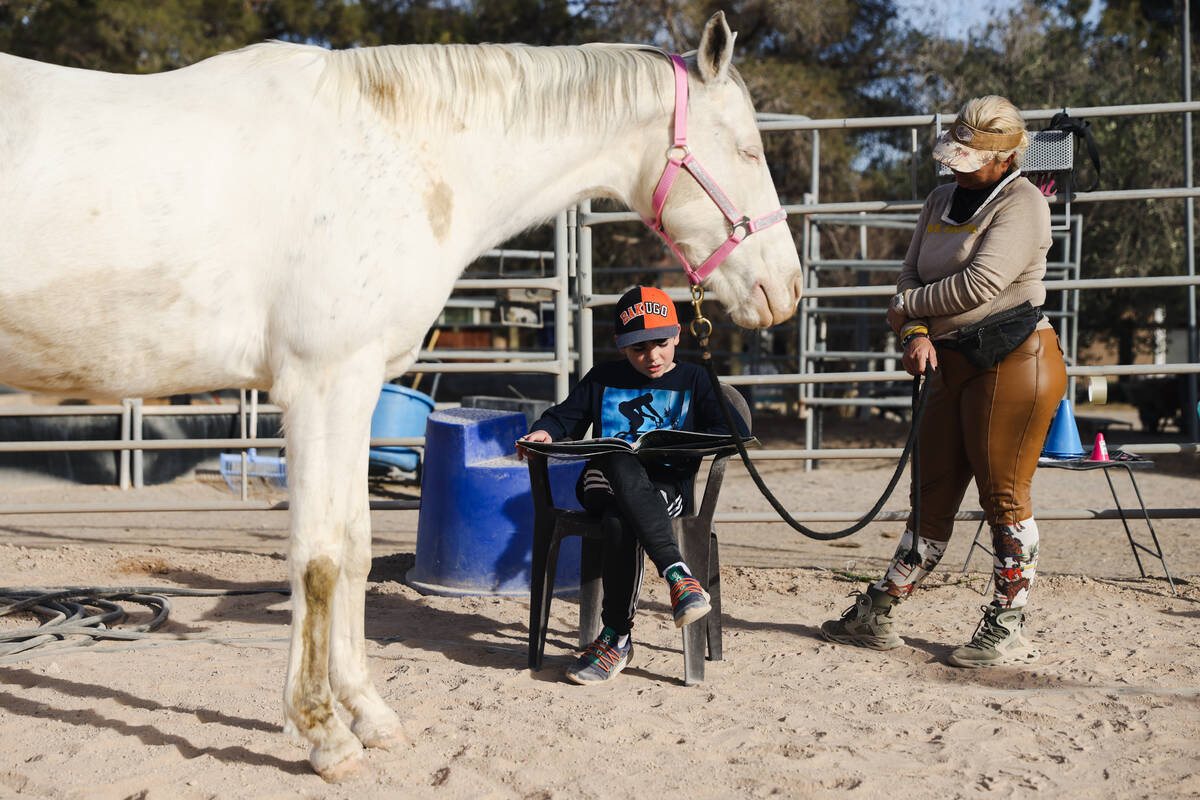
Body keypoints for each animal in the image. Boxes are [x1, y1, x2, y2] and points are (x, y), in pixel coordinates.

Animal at [2, 10, 806, 777]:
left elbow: (356, 548)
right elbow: (319, 559)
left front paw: (370, 714)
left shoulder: (356, 388)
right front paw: (324, 734)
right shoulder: (321, 384)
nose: (788, 289)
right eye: (748, 150)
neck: (388, 154)